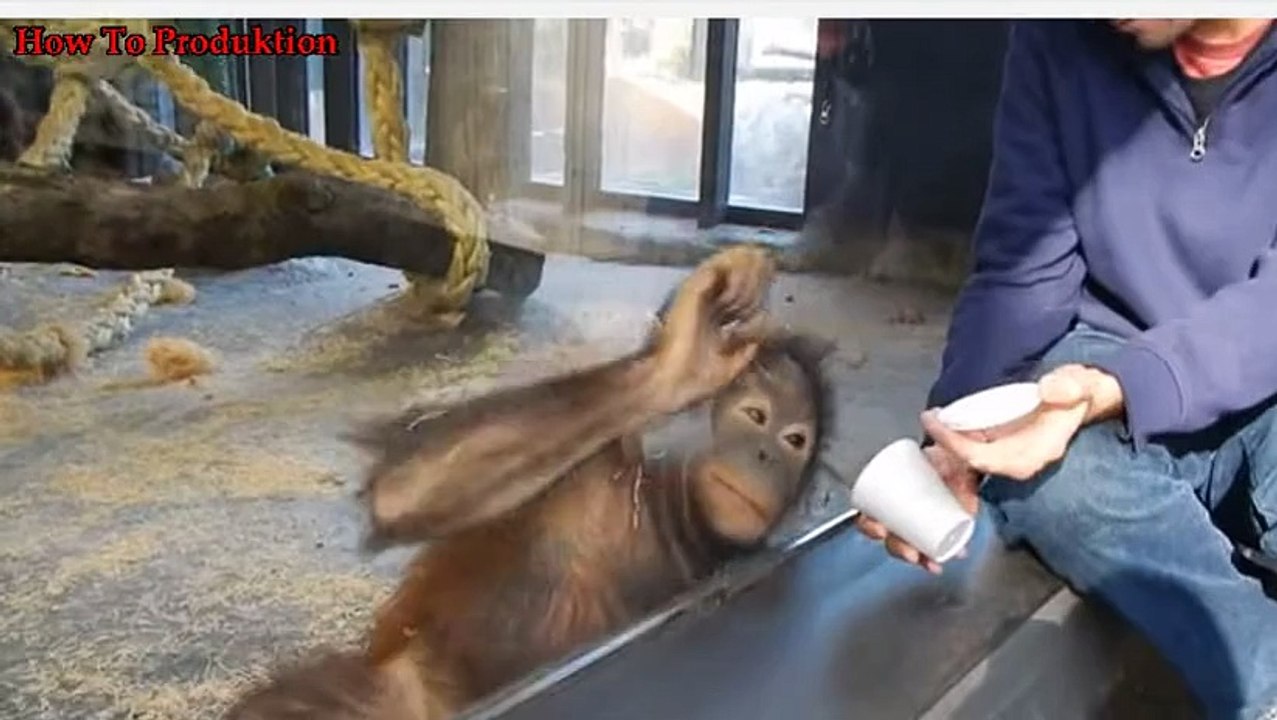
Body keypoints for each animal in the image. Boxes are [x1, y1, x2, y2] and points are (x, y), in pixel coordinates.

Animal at [224, 247, 837, 719]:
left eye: (795, 440)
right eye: (755, 415)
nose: (764, 453)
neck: (668, 516)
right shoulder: (588, 477)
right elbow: (404, 491)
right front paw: (686, 357)